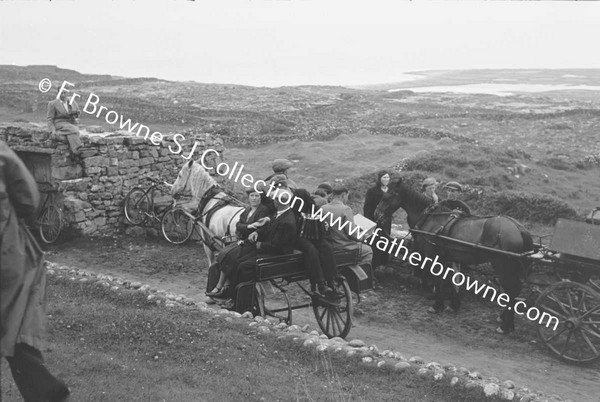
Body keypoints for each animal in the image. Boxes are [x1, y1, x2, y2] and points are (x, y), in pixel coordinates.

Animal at [376, 179, 536, 332]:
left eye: (386, 197)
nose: (377, 214)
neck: (431, 218)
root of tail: (519, 228)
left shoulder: (433, 256)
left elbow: (439, 279)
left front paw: (437, 305)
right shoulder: (448, 257)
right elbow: (452, 279)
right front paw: (453, 304)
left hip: (503, 266)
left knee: (512, 291)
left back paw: (505, 326)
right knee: (513, 291)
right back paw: (505, 319)